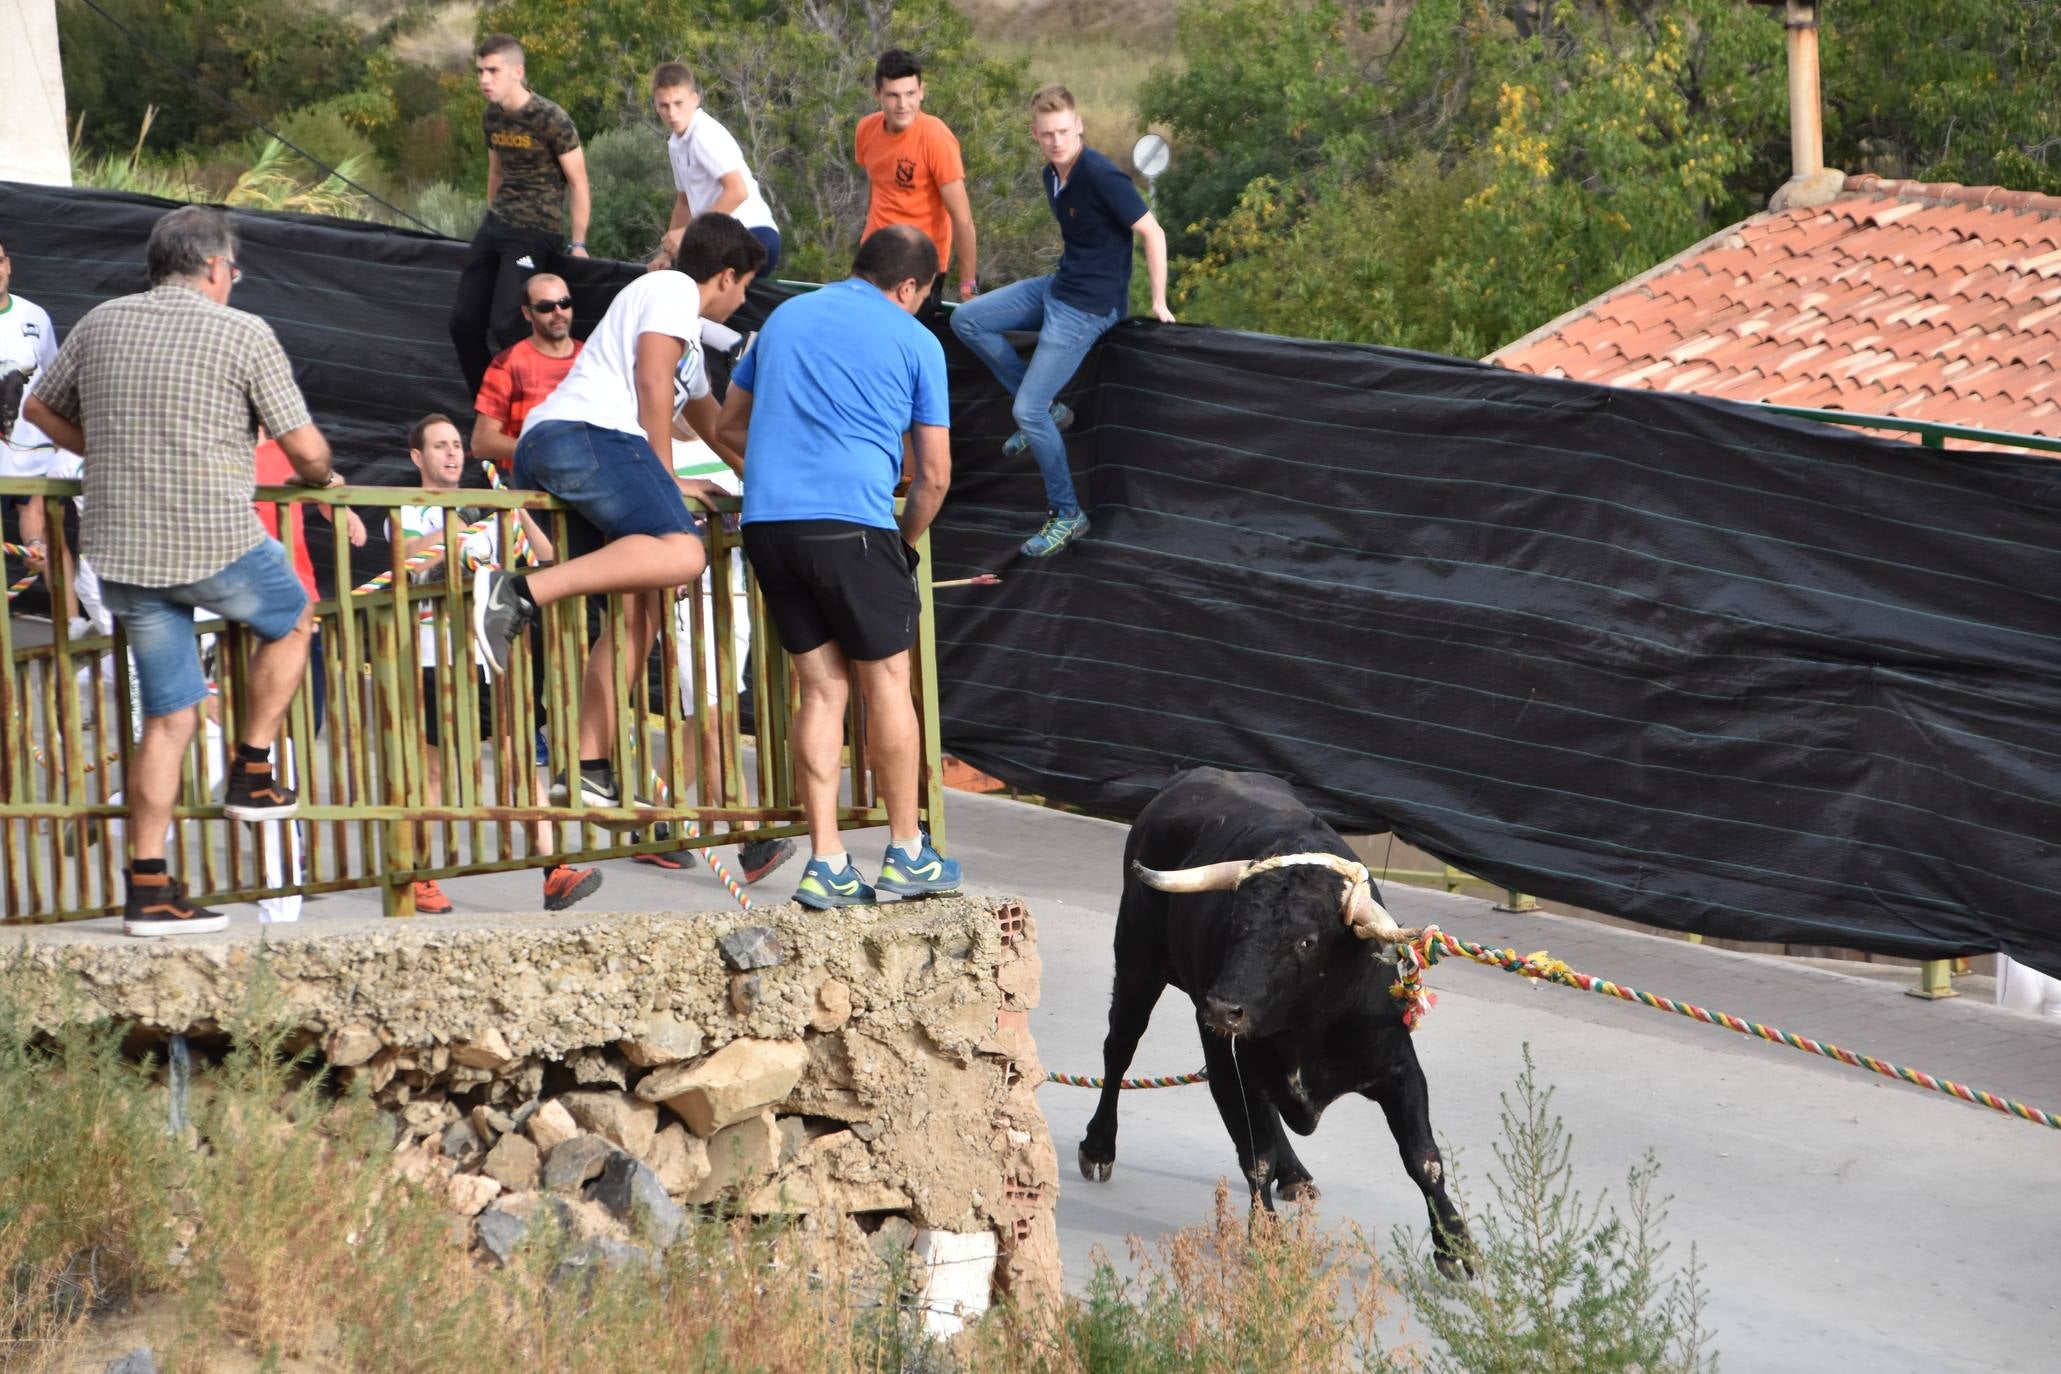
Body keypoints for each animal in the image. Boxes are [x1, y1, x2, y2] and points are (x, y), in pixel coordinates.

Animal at [1071, 770, 1475, 1277]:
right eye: (1236, 924)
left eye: (1306, 941)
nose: (1221, 1008)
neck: (1304, 1027)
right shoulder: (1227, 1068)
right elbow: (1255, 1157)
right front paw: (1265, 1237)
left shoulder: (1399, 1069)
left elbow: (1423, 1159)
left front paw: (1454, 1246)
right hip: (1136, 963)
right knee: (1119, 1050)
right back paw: (1099, 1147)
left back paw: (1296, 1174)